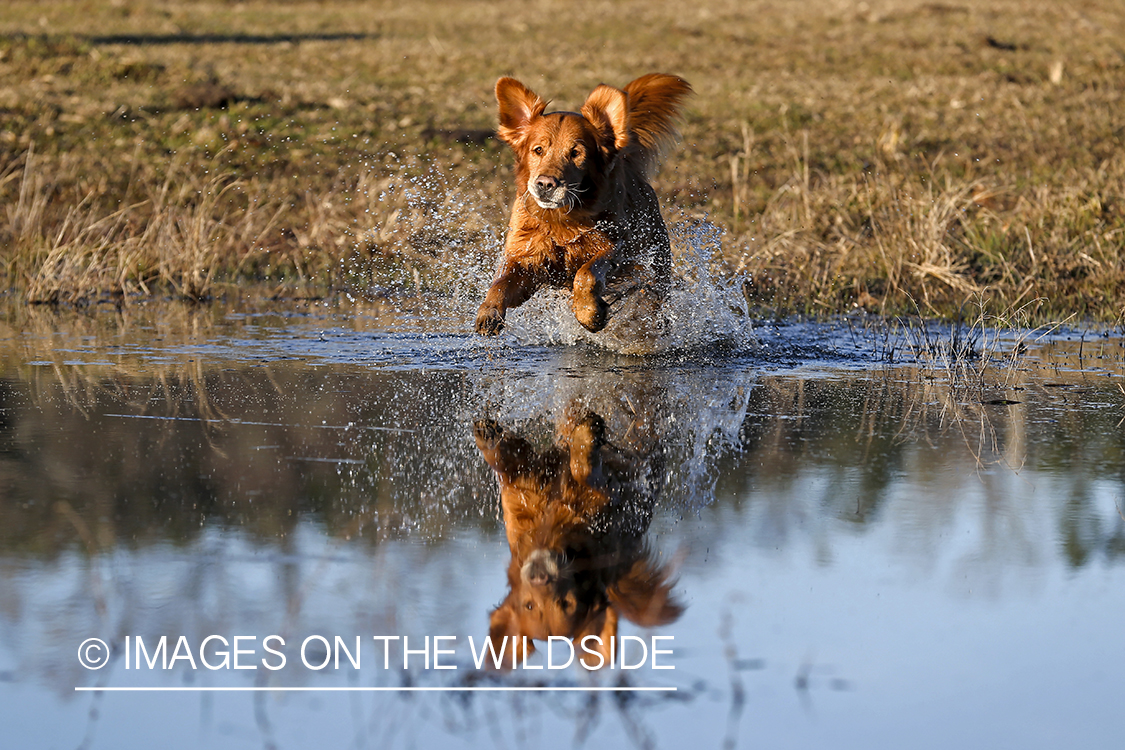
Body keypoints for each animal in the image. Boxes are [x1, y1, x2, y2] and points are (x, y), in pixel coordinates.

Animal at [472, 74, 688, 337]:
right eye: (538, 150)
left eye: (575, 153)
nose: (545, 184)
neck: (562, 219)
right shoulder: (527, 258)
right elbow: (500, 283)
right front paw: (489, 312)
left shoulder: (617, 247)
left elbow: (585, 274)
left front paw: (590, 314)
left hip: (655, 264)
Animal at [472, 416, 679, 670]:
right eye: (529, 605)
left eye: (566, 604)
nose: (540, 576)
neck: (550, 530)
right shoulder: (519, 498)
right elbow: (507, 464)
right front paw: (488, 434)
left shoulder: (613, 499)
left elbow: (583, 471)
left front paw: (587, 434)